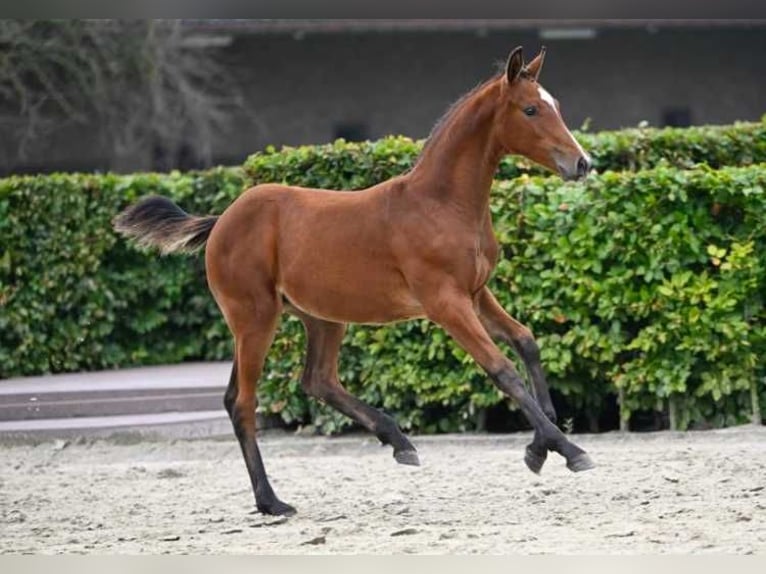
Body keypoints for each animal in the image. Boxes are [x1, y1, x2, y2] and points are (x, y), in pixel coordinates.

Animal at [115, 46, 592, 516]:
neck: (441, 203)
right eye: (530, 109)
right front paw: (568, 449)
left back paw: (397, 441)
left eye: (556, 105)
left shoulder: (475, 293)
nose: (582, 163)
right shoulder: (445, 303)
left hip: (322, 317)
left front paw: (540, 445)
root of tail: (221, 221)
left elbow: (526, 341)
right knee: (243, 402)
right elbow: (502, 369)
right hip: (254, 319)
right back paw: (271, 501)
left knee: (318, 380)